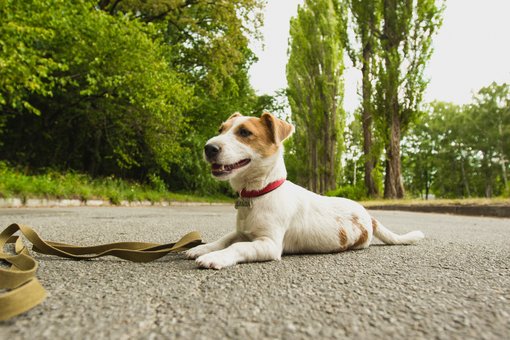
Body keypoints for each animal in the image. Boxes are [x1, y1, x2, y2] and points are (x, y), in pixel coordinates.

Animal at [185, 113, 424, 270]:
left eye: (245, 132)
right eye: (221, 129)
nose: (208, 148)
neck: (261, 191)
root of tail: (369, 216)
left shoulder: (269, 244)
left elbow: (238, 247)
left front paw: (216, 257)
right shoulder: (242, 231)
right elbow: (226, 238)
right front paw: (203, 248)